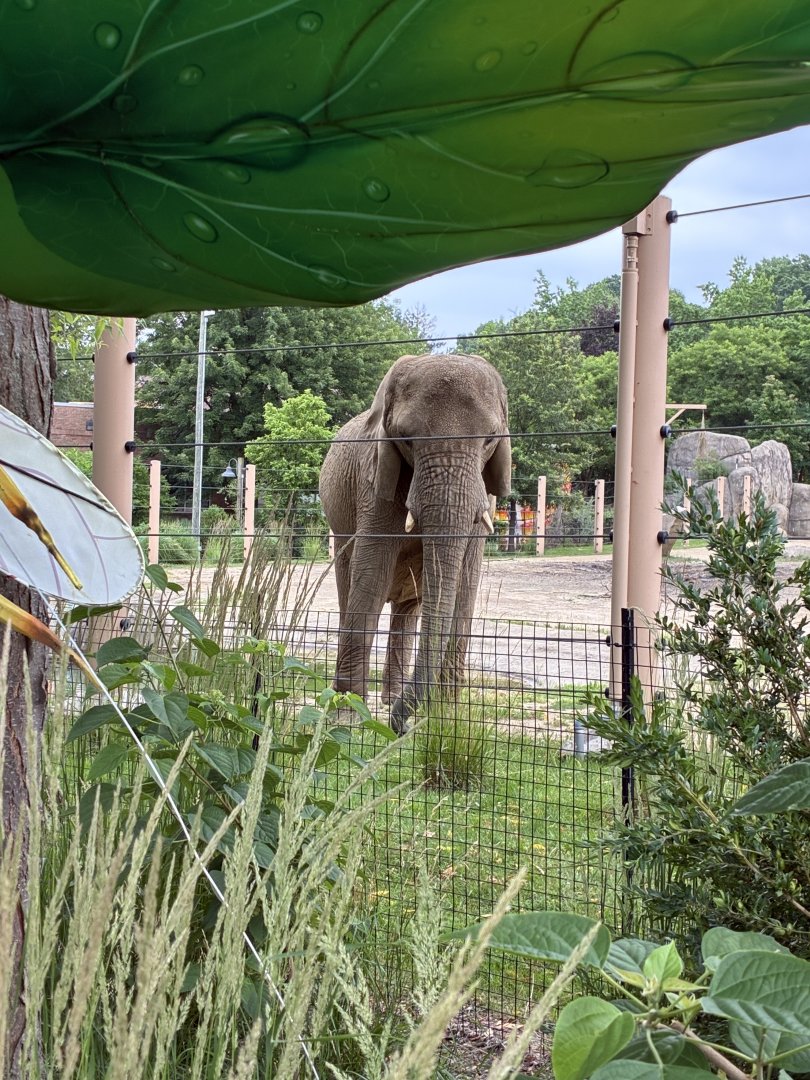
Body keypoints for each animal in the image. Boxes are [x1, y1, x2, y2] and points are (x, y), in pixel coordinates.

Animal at [319, 352, 511, 733]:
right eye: (407, 439)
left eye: (489, 441)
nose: (403, 727)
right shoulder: (374, 477)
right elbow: (372, 574)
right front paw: (347, 718)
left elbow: (466, 584)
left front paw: (448, 717)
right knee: (350, 589)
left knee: (408, 610)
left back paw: (392, 698)